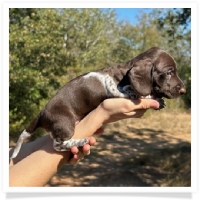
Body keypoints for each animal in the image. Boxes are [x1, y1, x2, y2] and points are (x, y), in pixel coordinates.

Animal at [10, 46, 186, 158]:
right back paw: (81, 140)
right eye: (169, 72)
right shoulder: (116, 90)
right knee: (58, 145)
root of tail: (41, 113)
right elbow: (137, 93)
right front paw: (152, 97)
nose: (183, 90)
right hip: (65, 124)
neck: (124, 73)